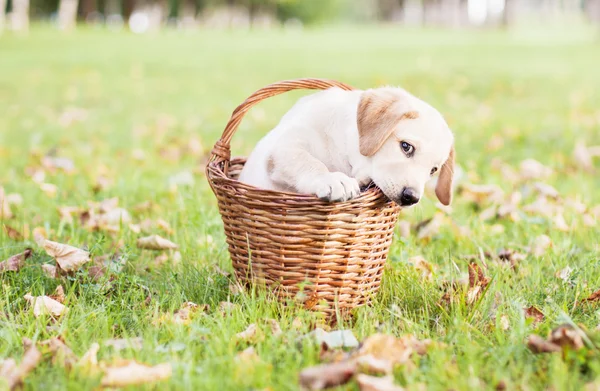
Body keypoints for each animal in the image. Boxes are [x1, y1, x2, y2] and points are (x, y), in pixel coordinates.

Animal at [239, 86, 454, 208]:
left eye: (433, 170)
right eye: (406, 147)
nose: (411, 197)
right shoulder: (283, 147)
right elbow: (309, 161)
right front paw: (331, 179)